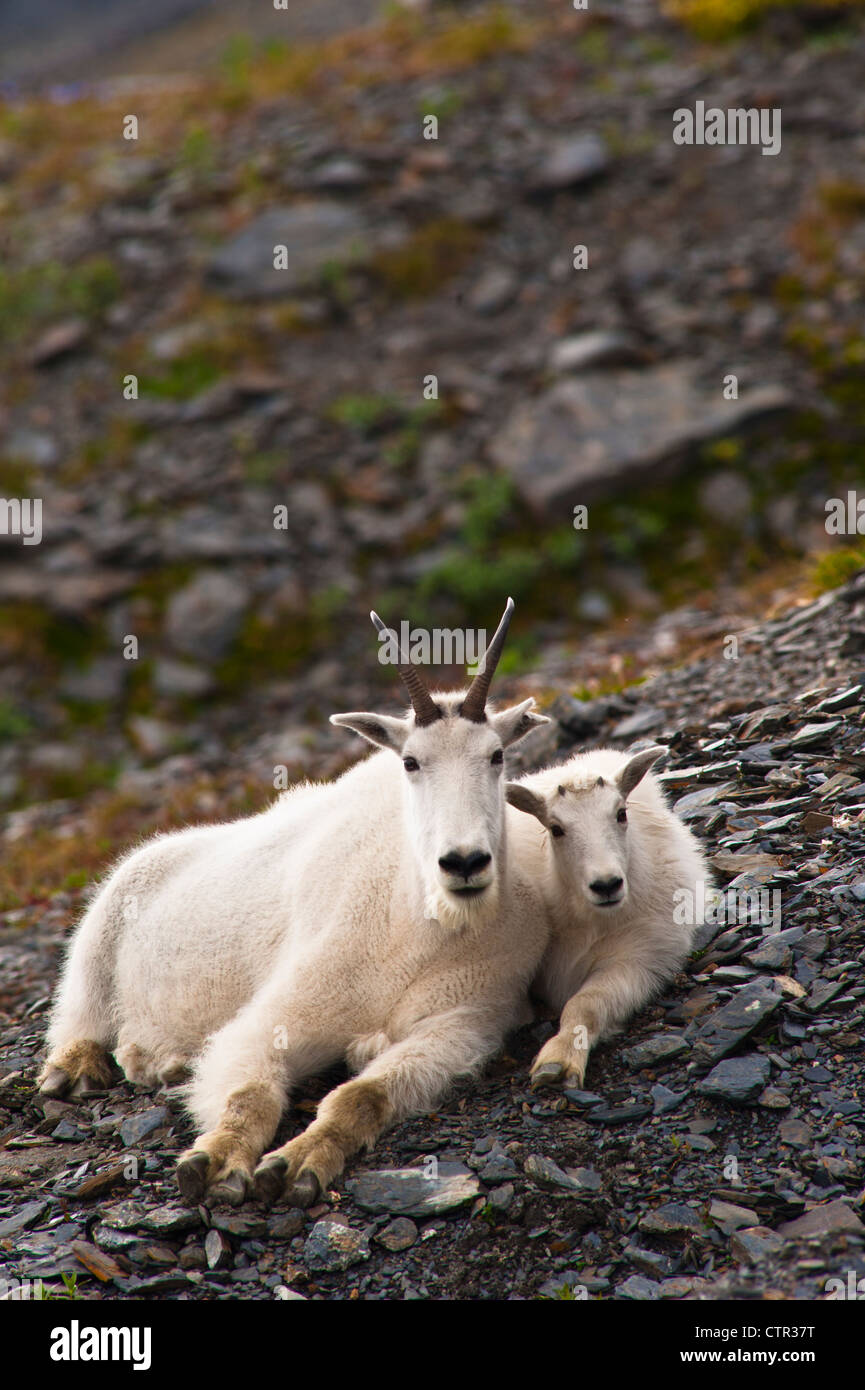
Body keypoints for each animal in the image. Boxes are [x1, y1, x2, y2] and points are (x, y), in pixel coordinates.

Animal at [38, 600, 556, 1206]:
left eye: (496, 755)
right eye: (410, 762)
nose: (465, 863)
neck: (419, 928)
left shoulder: (461, 1024)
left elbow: (362, 1095)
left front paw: (297, 1163)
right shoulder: (283, 1013)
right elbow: (252, 1092)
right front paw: (216, 1163)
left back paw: (161, 1063)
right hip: (98, 937)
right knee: (79, 1016)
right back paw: (74, 1069)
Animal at [508, 745, 712, 1089]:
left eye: (621, 813)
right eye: (556, 829)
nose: (606, 885)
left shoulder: (638, 957)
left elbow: (586, 1004)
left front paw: (559, 1059)